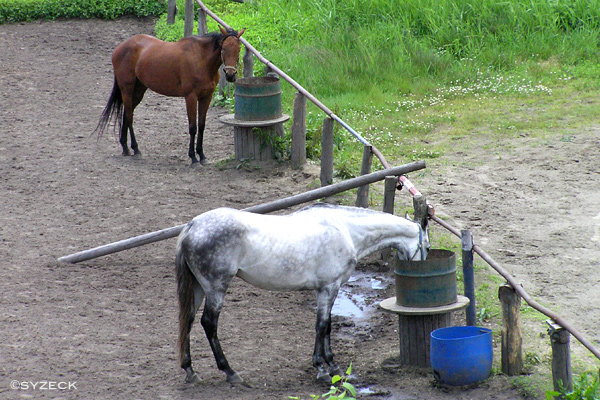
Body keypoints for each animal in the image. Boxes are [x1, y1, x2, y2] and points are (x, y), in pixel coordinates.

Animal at [94, 26, 244, 164]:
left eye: (238, 49)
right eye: (223, 48)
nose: (230, 75)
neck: (200, 59)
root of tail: (119, 48)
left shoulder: (206, 97)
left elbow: (201, 126)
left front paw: (202, 156)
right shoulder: (191, 97)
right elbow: (192, 127)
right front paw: (193, 157)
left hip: (138, 90)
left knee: (127, 114)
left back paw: (125, 147)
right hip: (127, 89)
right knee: (129, 116)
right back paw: (136, 149)